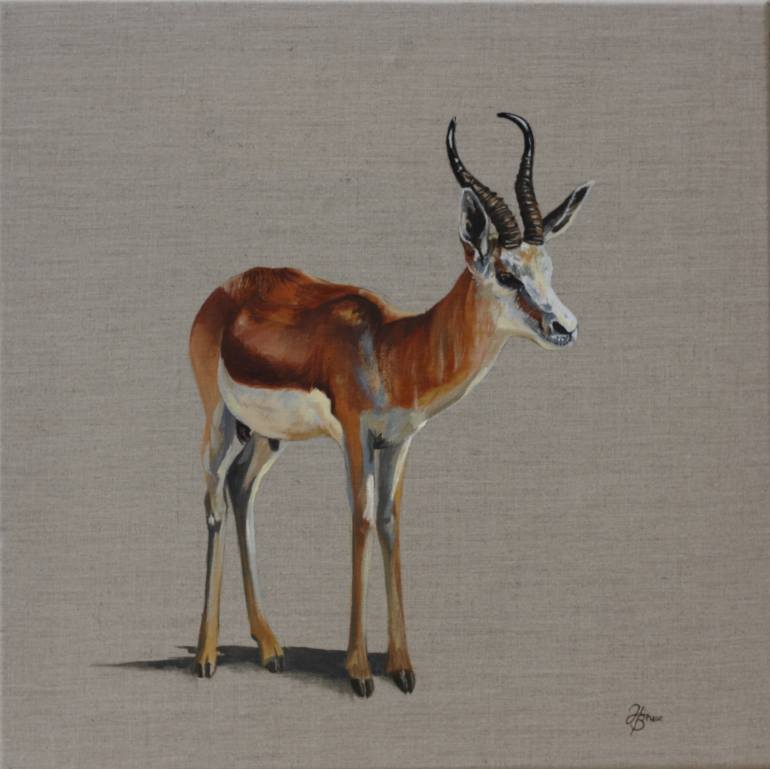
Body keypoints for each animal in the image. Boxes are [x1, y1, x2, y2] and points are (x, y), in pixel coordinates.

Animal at [189, 112, 592, 697]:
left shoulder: (399, 442)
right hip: (217, 419)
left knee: (242, 492)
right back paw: (205, 655)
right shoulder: (356, 436)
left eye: (548, 268)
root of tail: (223, 292)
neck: (393, 347)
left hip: (266, 435)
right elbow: (358, 520)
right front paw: (359, 670)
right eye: (506, 273)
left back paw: (270, 648)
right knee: (214, 500)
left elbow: (389, 522)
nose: (565, 327)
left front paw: (401, 665)